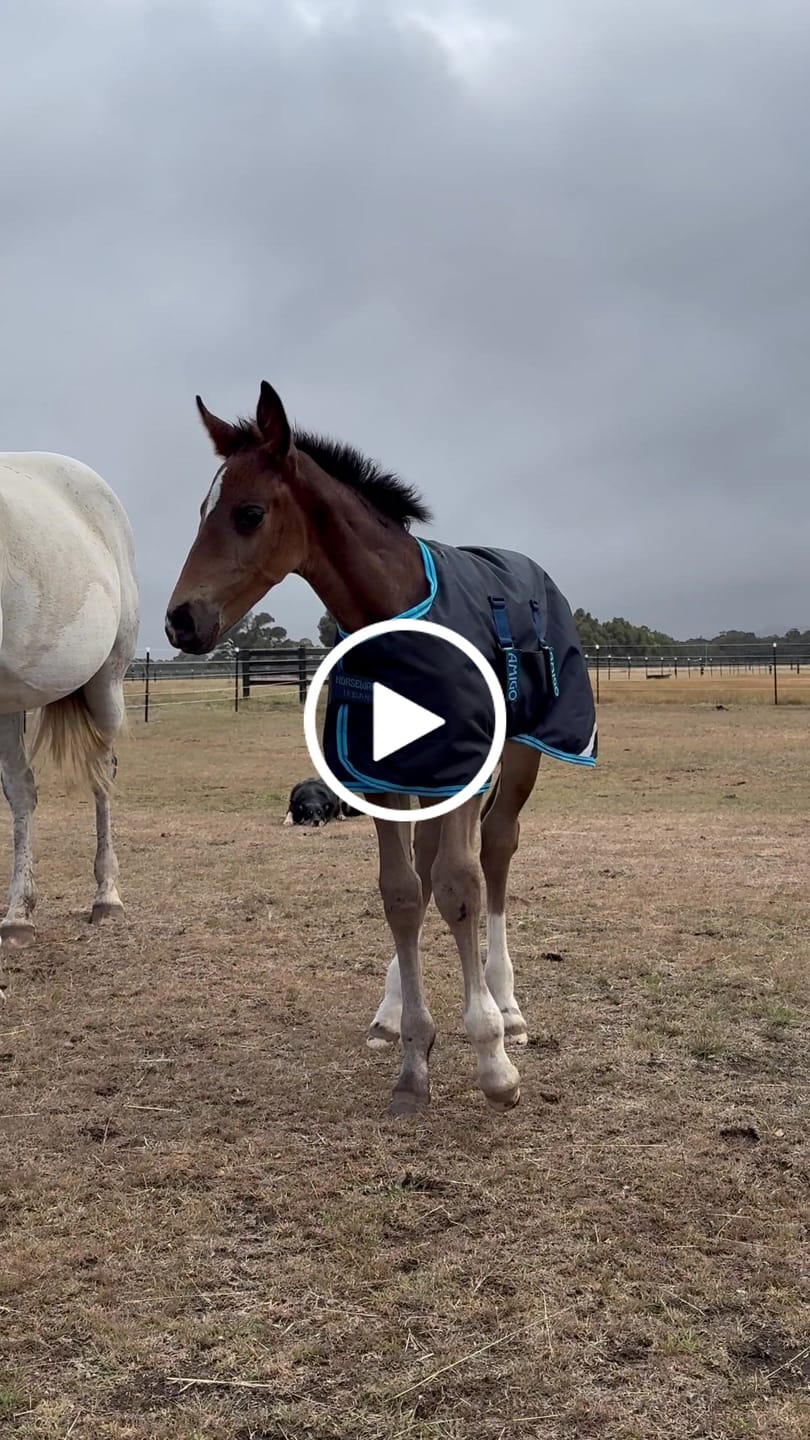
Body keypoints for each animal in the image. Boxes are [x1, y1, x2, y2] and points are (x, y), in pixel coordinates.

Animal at [166, 382, 595, 1114]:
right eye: (201, 511)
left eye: (249, 513)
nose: (180, 621)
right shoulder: (385, 774)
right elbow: (402, 892)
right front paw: (414, 1058)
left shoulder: (462, 767)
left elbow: (459, 887)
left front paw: (491, 1060)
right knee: (425, 868)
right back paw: (392, 1011)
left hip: (520, 758)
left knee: (497, 852)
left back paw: (508, 1008)